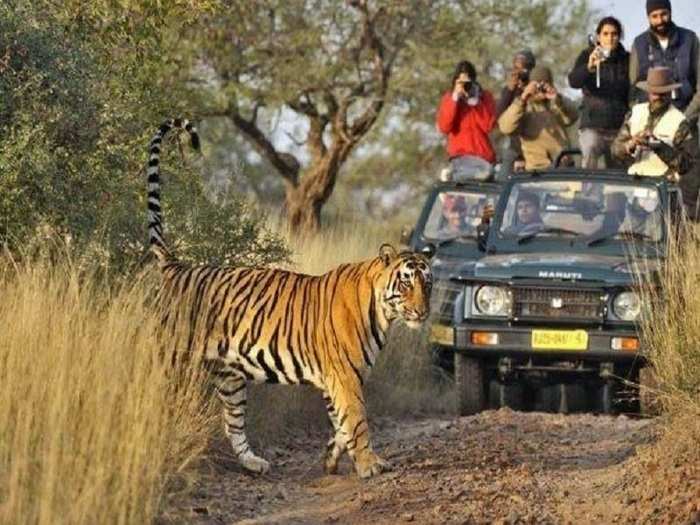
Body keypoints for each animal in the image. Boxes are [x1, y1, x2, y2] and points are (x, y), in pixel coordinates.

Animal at [146, 118, 432, 478]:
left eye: (428, 284)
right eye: (406, 283)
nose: (423, 312)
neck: (382, 313)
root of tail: (175, 265)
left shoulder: (334, 379)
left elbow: (341, 425)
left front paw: (331, 458)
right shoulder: (344, 376)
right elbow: (357, 421)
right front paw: (369, 465)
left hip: (230, 377)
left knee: (233, 422)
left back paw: (254, 463)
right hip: (173, 358)